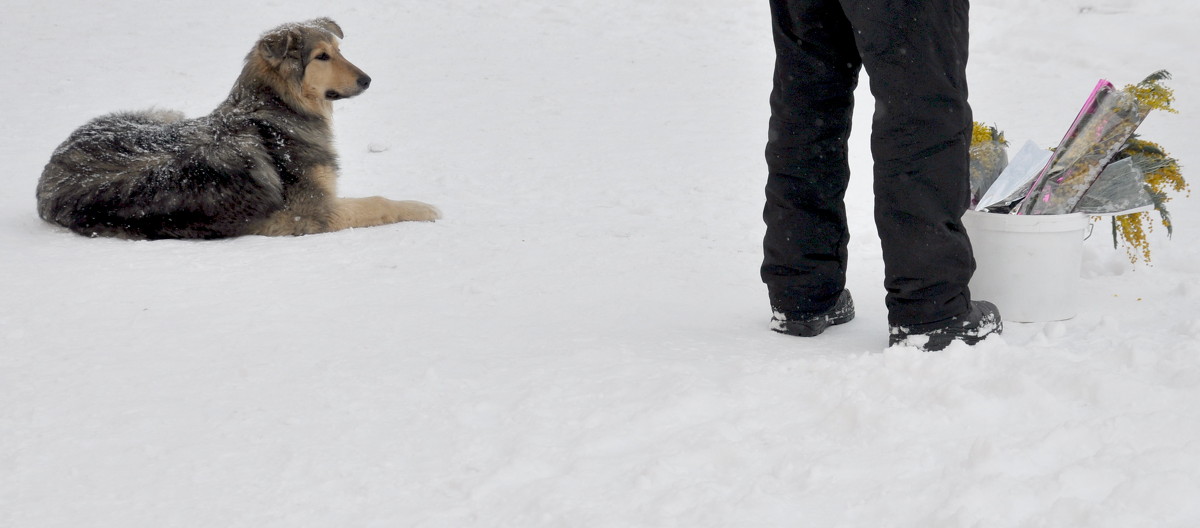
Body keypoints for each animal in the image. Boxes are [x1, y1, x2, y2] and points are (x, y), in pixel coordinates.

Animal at [36, 17, 441, 238]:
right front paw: (423, 207)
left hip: (164, 115)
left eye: (340, 51)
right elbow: (379, 202)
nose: (368, 80)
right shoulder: (312, 214)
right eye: (322, 57)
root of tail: (51, 166)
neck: (275, 109)